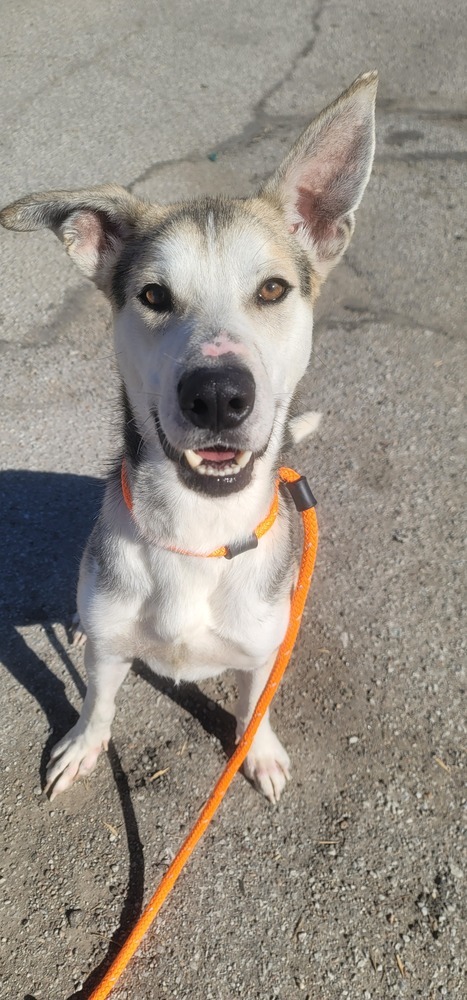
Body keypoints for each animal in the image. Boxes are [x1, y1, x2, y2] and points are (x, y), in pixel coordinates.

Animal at [0, 70, 378, 804]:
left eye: (272, 289)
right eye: (152, 295)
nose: (218, 395)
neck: (196, 533)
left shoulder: (259, 654)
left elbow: (253, 702)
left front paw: (258, 750)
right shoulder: (108, 644)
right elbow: (98, 700)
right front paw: (84, 745)